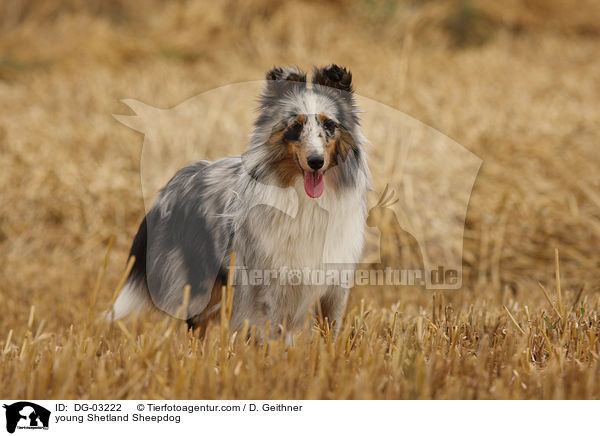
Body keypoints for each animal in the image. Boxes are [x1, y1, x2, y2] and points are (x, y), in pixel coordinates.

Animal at [108, 64, 370, 338]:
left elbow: (329, 331)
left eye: (329, 124)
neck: (305, 200)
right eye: (295, 127)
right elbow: (270, 332)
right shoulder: (268, 284)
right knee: (196, 325)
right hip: (201, 284)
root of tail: (179, 179)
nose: (316, 161)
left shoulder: (334, 286)